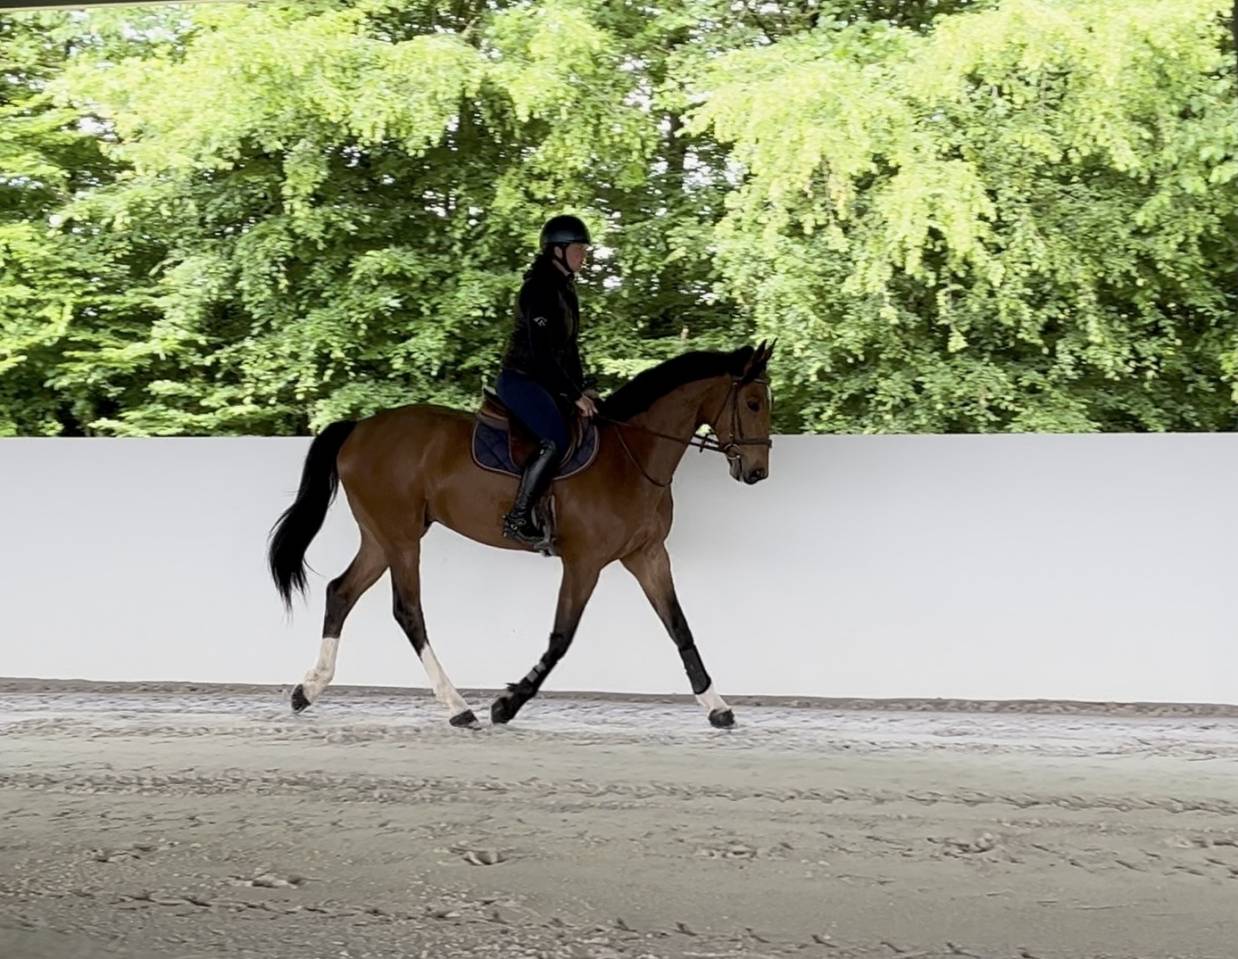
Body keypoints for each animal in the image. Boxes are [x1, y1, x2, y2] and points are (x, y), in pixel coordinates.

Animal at [267, 341, 774, 729]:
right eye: (752, 403)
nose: (757, 472)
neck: (633, 455)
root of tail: (359, 429)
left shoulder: (648, 556)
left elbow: (680, 627)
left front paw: (718, 707)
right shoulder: (584, 562)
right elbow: (562, 637)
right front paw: (507, 704)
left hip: (381, 538)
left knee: (341, 592)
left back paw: (308, 690)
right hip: (401, 539)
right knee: (408, 611)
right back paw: (458, 706)